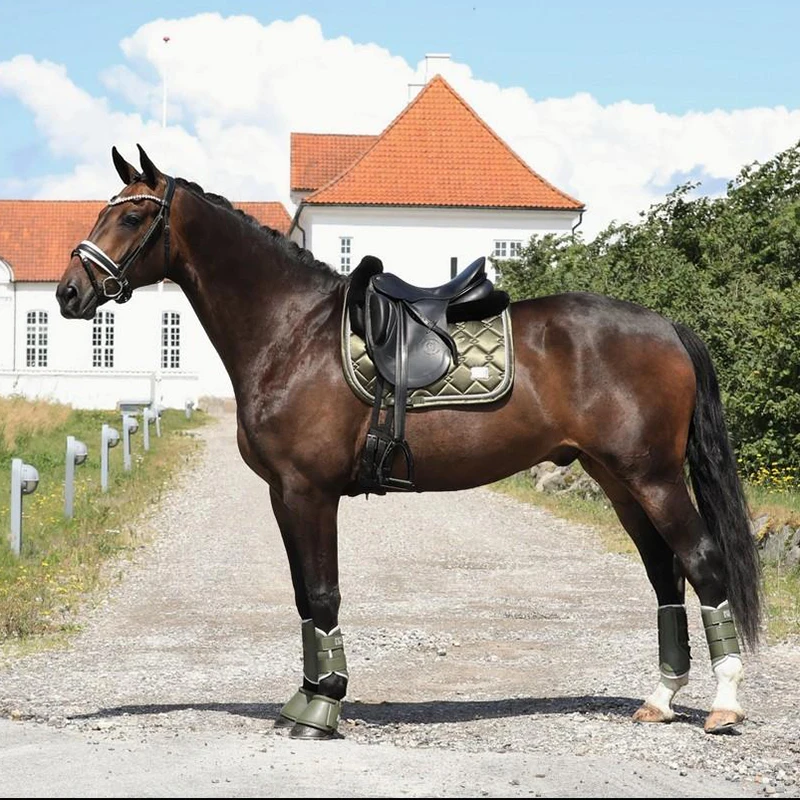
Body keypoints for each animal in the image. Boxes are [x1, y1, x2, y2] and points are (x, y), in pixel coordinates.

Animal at [56, 145, 762, 740]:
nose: (69, 292)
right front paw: (307, 695)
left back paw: (724, 706)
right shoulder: (284, 495)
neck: (293, 332)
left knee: (702, 562)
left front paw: (323, 706)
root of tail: (667, 326)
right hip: (615, 478)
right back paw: (661, 700)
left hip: (654, 477)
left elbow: (323, 592)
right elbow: (303, 597)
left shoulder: (309, 492)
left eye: (133, 215)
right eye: (104, 210)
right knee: (663, 572)